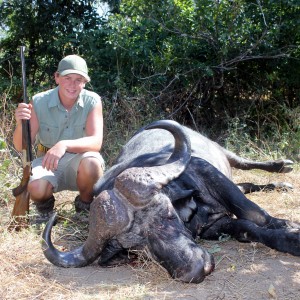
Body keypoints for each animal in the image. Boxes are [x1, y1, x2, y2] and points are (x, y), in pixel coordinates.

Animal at [42, 119, 300, 284]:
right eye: (137, 249)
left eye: (167, 215)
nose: (195, 270)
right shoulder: (215, 227)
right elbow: (247, 228)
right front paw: (288, 238)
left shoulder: (210, 174)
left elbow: (254, 214)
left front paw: (290, 228)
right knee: (245, 184)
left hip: (224, 152)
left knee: (245, 164)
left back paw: (282, 166)